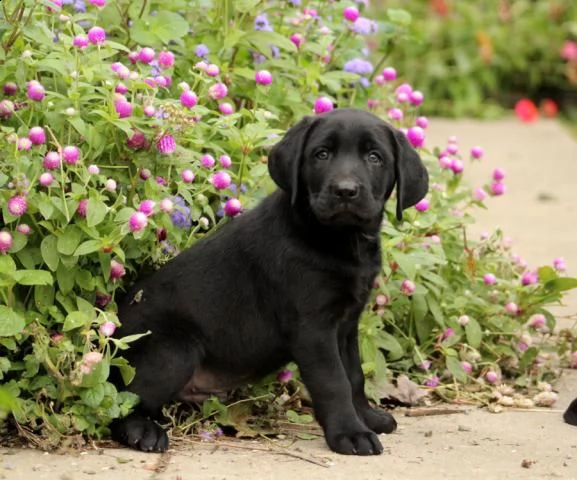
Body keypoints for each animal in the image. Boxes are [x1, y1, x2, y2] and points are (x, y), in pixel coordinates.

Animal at [110, 108, 428, 454]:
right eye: (322, 154)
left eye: (374, 157)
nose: (345, 190)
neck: (339, 240)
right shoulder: (313, 329)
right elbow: (334, 382)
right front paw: (350, 433)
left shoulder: (346, 324)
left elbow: (353, 375)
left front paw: (367, 418)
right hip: (173, 351)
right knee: (120, 402)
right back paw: (143, 431)